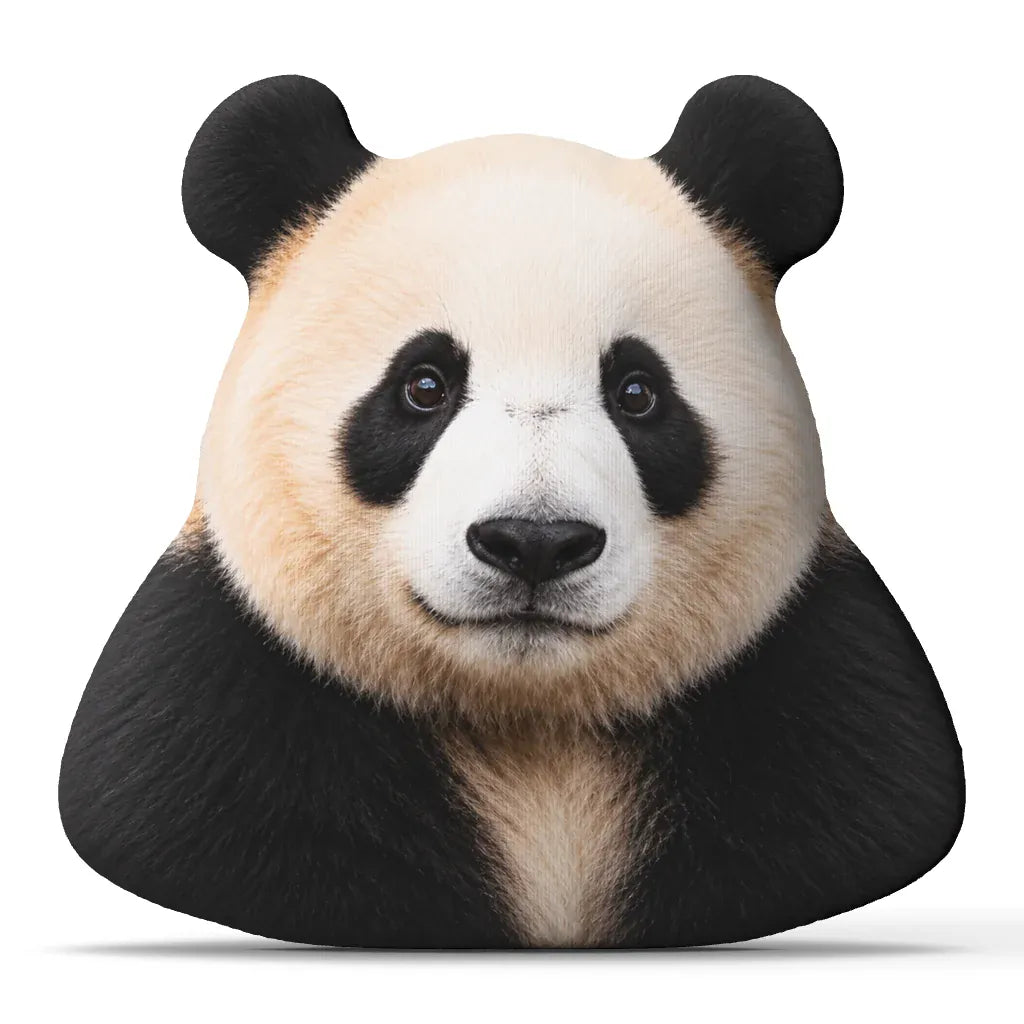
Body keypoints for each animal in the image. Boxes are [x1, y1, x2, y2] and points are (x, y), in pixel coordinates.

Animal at [59, 74, 964, 949]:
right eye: (423, 385)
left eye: (638, 393)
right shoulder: (231, 702)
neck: (534, 731)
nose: (535, 542)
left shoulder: (813, 693)